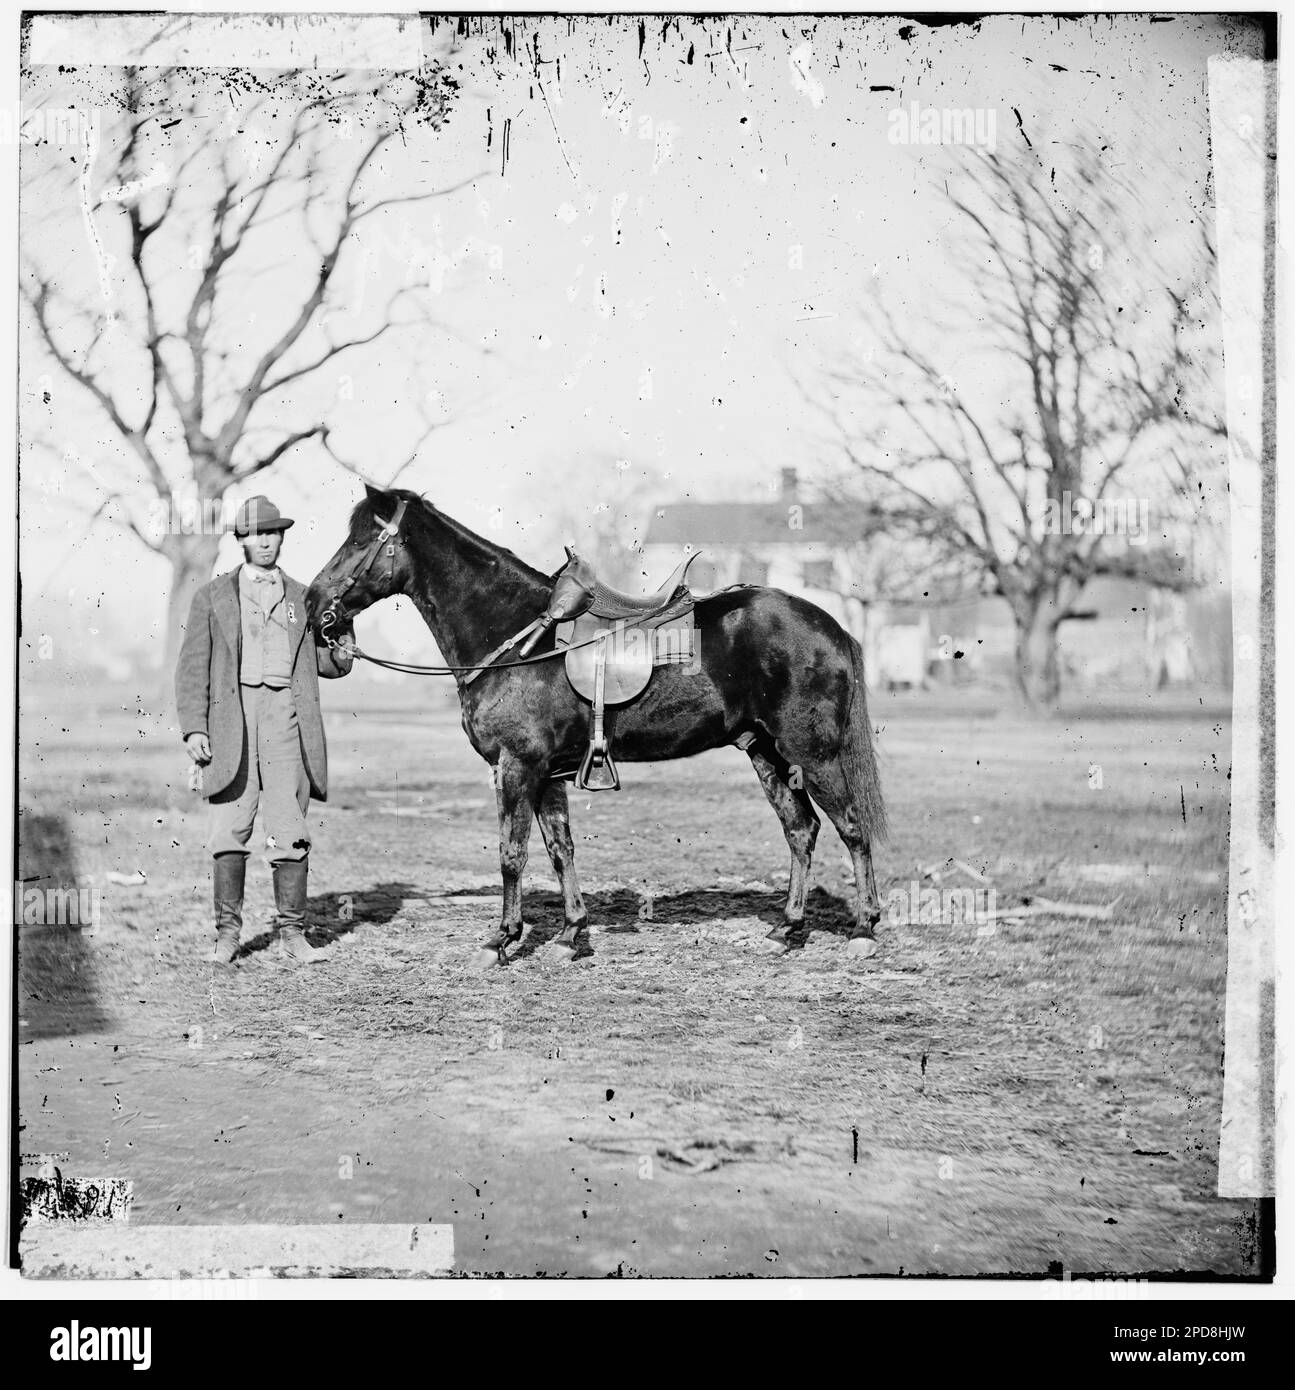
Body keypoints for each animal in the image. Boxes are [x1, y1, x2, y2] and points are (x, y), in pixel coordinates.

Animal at [306, 485, 887, 965]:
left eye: (362, 540)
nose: (313, 604)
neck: (518, 638)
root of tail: (831, 627)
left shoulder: (517, 766)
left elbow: (511, 854)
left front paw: (503, 939)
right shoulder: (548, 774)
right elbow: (559, 851)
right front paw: (571, 935)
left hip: (812, 755)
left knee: (852, 828)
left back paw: (864, 928)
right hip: (766, 752)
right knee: (801, 830)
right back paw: (788, 929)